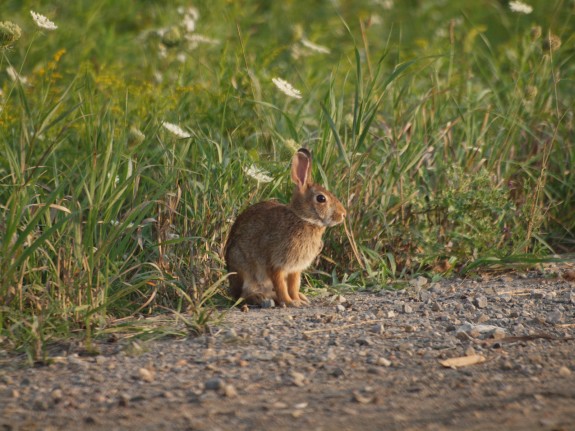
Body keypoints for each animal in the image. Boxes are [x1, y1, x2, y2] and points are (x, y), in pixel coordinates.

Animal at [224, 148, 346, 308]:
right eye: (321, 198)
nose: (343, 214)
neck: (303, 219)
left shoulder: (295, 269)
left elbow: (293, 286)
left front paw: (298, 300)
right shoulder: (276, 264)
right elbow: (281, 285)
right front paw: (290, 302)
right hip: (244, 270)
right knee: (244, 294)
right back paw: (261, 298)